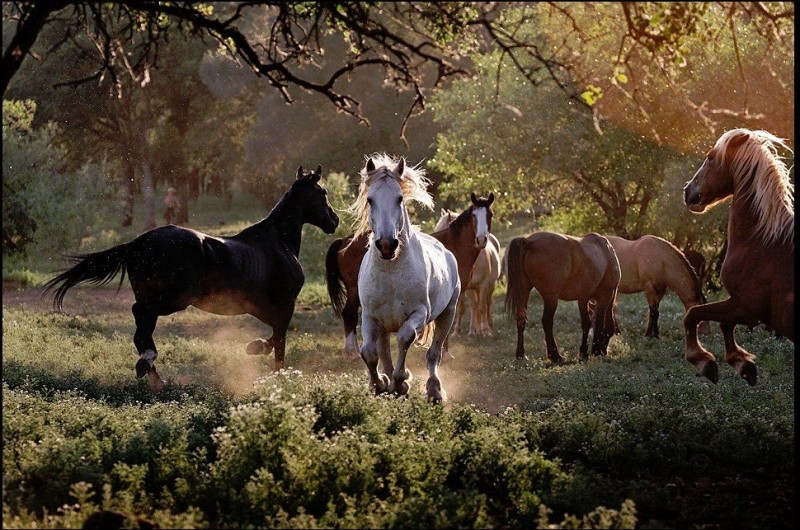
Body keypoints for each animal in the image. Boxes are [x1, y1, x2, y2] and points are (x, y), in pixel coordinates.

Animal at [42, 165, 340, 388]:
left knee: (142, 329)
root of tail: (137, 243)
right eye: (322, 192)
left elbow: (276, 335)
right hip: (175, 299)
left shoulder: (266, 308)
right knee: (140, 316)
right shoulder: (284, 304)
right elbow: (279, 339)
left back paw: (153, 376)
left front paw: (255, 349)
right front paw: (273, 371)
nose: (334, 220)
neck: (278, 243)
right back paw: (148, 363)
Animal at [326, 190, 494, 354]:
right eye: (474, 216)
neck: (453, 245)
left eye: (490, 215)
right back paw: (352, 351)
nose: (481, 239)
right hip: (355, 291)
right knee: (349, 314)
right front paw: (445, 352)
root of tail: (344, 242)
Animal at [348, 153, 460, 400]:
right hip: (383, 326)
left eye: (399, 198)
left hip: (447, 314)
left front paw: (401, 382)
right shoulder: (370, 317)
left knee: (434, 354)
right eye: (370, 199)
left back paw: (434, 390)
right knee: (384, 353)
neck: (391, 275)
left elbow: (404, 338)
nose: (386, 245)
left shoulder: (418, 313)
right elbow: (369, 352)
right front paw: (379, 385)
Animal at [504, 229, 620, 360]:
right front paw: (596, 350)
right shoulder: (605, 295)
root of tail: (530, 242)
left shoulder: (583, 298)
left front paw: (584, 351)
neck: (606, 253)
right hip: (551, 297)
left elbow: (587, 323)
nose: (604, 351)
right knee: (547, 321)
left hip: (524, 291)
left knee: (521, 319)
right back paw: (555, 355)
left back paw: (521, 355)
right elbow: (600, 323)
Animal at [680, 128, 792, 384]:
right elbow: (720, 323)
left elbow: (694, 314)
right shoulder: (740, 305)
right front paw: (743, 364)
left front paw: (704, 361)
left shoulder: (747, 309)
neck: (764, 241)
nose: (688, 192)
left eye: (711, 157)